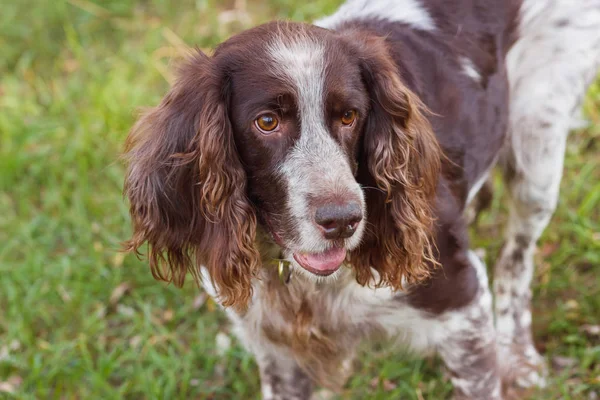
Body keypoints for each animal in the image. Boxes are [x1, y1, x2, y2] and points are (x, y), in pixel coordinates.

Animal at [123, 1, 600, 398]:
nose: (343, 220)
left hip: (536, 147)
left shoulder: (464, 308)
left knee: (517, 258)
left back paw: (519, 355)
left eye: (350, 116)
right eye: (267, 121)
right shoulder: (279, 350)